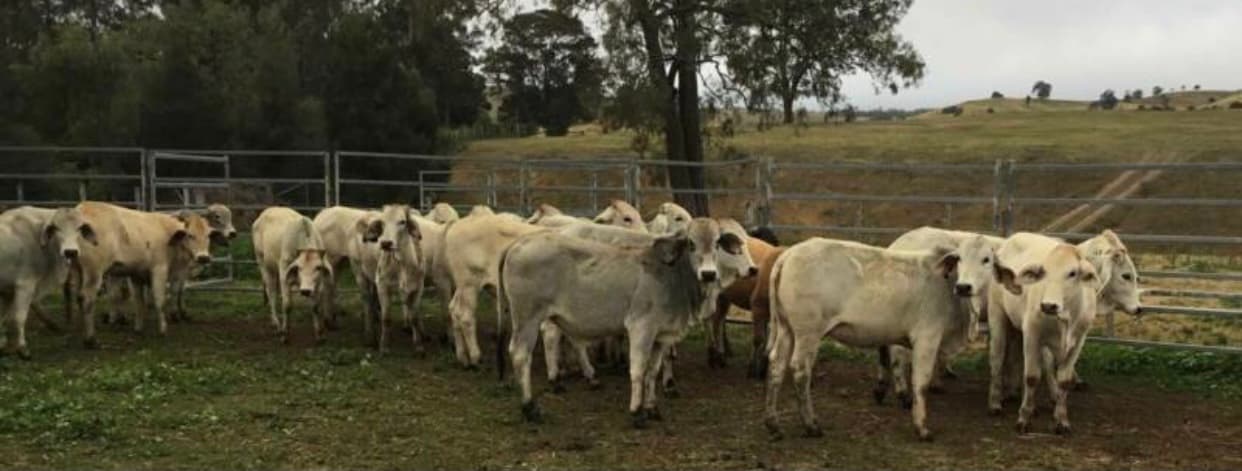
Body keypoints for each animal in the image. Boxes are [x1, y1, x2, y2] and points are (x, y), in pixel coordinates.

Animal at [0, 207, 94, 359]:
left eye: (80, 228)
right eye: (56, 228)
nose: (70, 252)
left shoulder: (7, 290)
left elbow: (2, 317)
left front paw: (2, 346)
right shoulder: (25, 285)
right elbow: (19, 317)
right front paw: (22, 349)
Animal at [252, 207, 333, 344]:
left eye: (318, 267)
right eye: (299, 268)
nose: (305, 291)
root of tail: (265, 212)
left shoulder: (318, 283)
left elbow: (315, 306)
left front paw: (319, 334)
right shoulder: (285, 274)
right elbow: (287, 305)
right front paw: (285, 335)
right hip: (263, 264)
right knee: (271, 293)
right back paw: (276, 324)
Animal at [498, 218, 749, 427]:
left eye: (717, 243)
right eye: (691, 243)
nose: (708, 274)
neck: (672, 276)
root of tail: (518, 243)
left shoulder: (661, 336)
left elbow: (652, 372)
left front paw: (652, 408)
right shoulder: (641, 328)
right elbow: (638, 370)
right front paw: (637, 412)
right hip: (527, 318)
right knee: (521, 354)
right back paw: (530, 407)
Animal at [765, 238, 966, 440]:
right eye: (960, 260)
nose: (965, 287)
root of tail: (788, 254)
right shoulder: (927, 336)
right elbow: (920, 382)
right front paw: (922, 427)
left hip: (786, 328)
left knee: (777, 364)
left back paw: (774, 424)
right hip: (807, 331)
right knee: (800, 370)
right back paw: (811, 425)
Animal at [986, 232, 1099, 435]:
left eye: (1072, 273)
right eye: (1043, 272)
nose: (1048, 305)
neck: (1066, 316)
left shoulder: (1078, 341)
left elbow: (1064, 380)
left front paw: (1061, 420)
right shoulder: (1032, 333)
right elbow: (1031, 377)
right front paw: (1023, 419)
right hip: (997, 314)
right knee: (997, 359)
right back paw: (995, 403)